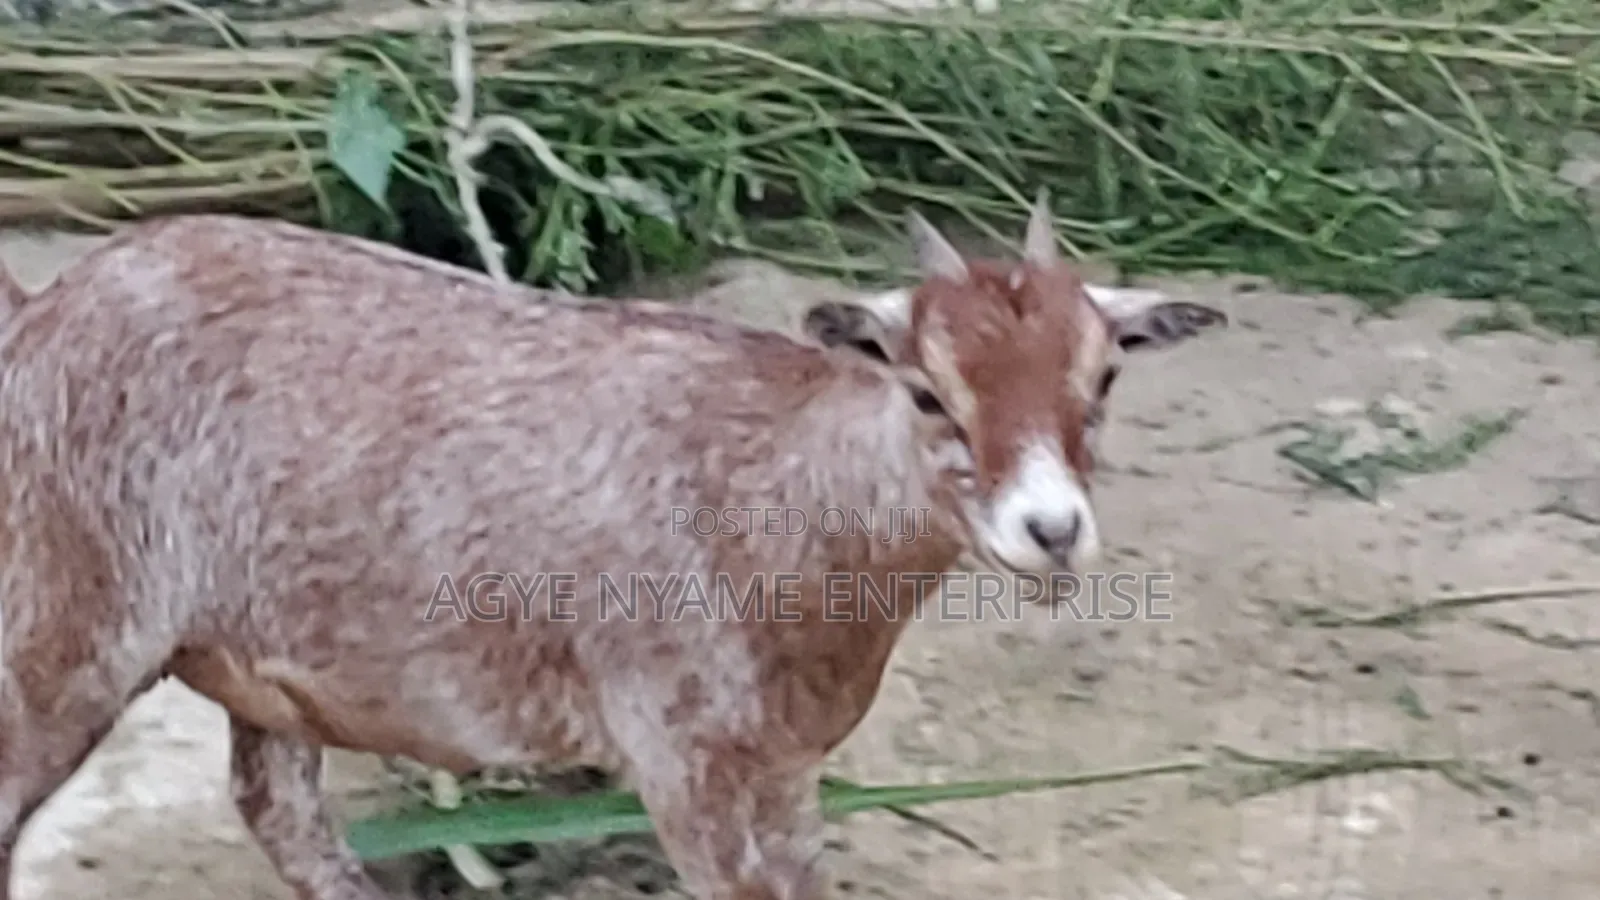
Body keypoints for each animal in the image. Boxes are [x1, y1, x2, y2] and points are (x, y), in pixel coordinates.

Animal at [0, 196, 1223, 900]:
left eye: (1103, 375)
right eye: (927, 391)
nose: (1051, 529)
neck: (780, 490)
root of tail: (40, 313)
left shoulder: (785, 766)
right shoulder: (681, 760)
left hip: (268, 668)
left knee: (278, 810)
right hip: (57, 626)